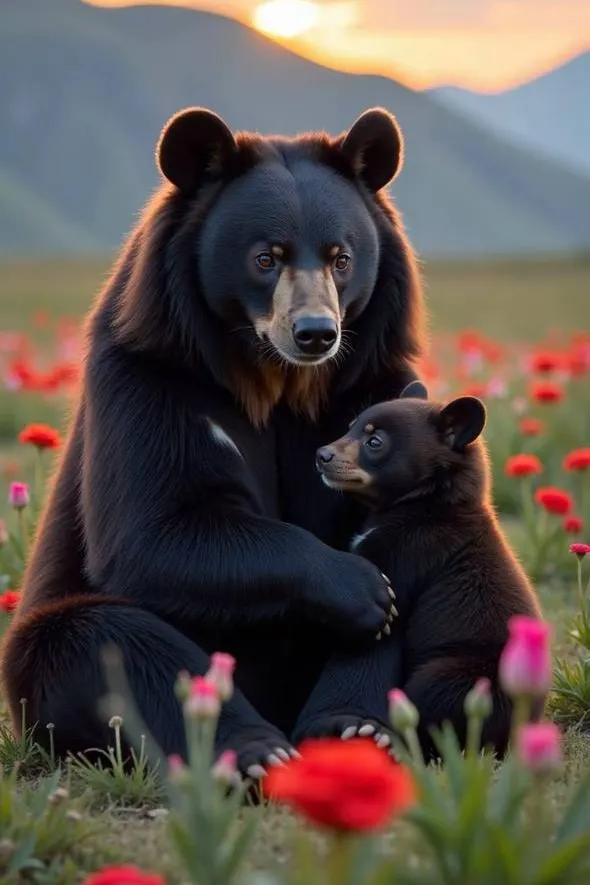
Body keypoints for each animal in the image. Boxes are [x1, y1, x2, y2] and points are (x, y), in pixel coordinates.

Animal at [0, 106, 425, 778]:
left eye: (341, 258)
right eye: (266, 257)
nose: (316, 333)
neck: (276, 380)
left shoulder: (374, 380)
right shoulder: (148, 377)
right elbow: (156, 531)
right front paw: (357, 587)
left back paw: (351, 729)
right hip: (40, 655)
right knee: (115, 645)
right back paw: (256, 753)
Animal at [311, 381, 545, 758]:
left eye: (375, 442)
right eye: (350, 427)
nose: (321, 454)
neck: (427, 500)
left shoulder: (410, 549)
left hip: (454, 675)